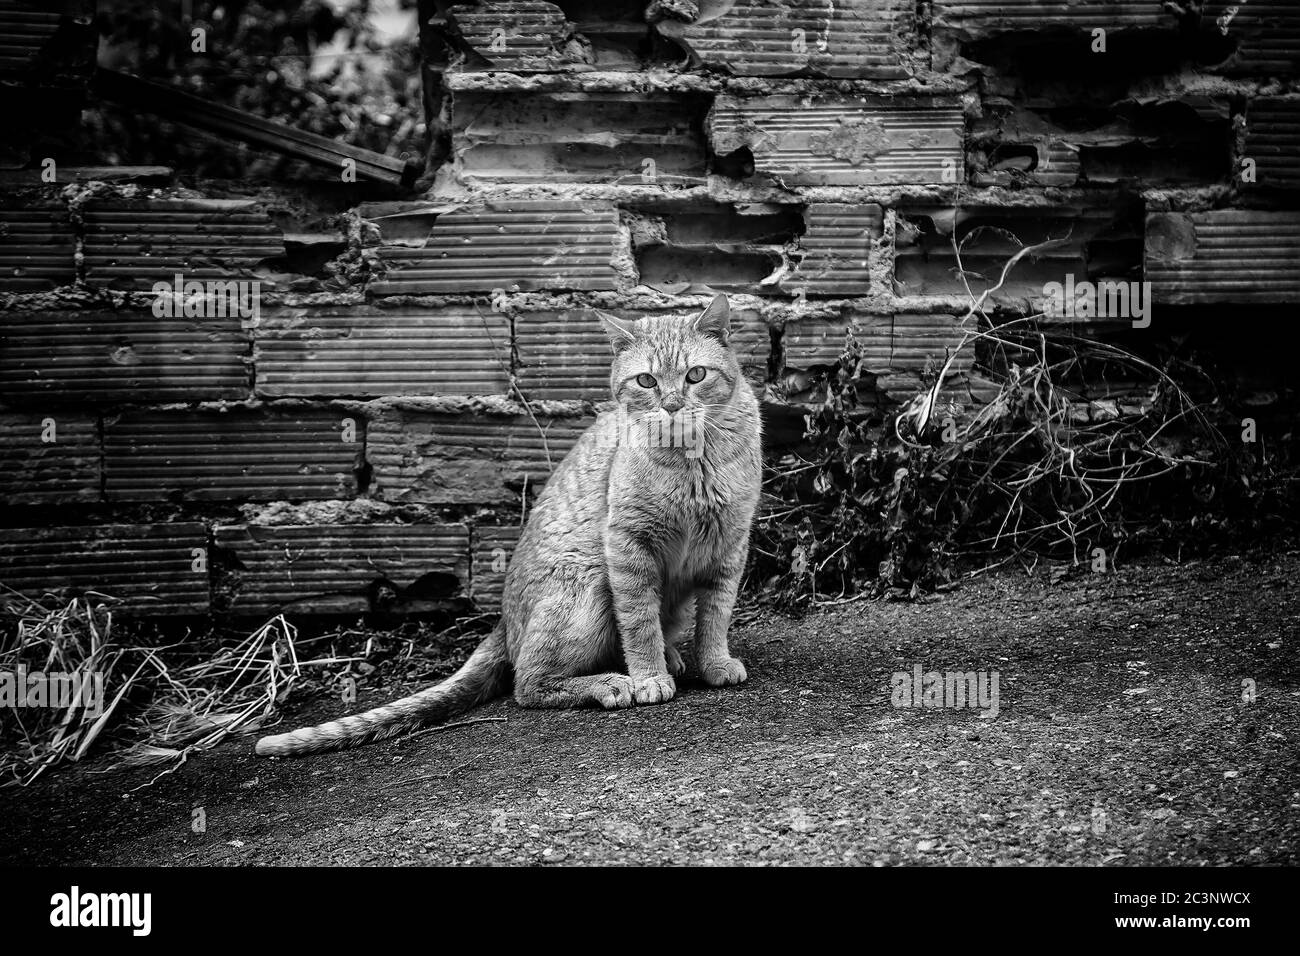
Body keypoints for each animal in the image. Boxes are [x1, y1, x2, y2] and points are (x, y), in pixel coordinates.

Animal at [254, 295, 759, 759]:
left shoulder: (730, 545)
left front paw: (713, 663)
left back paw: (670, 657)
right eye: (646, 381)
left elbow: (715, 618)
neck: (692, 464)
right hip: (588, 581)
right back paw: (612, 682)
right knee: (529, 683)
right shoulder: (628, 545)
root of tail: (503, 620)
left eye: (696, 376)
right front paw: (649, 676)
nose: (672, 405)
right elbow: (638, 625)